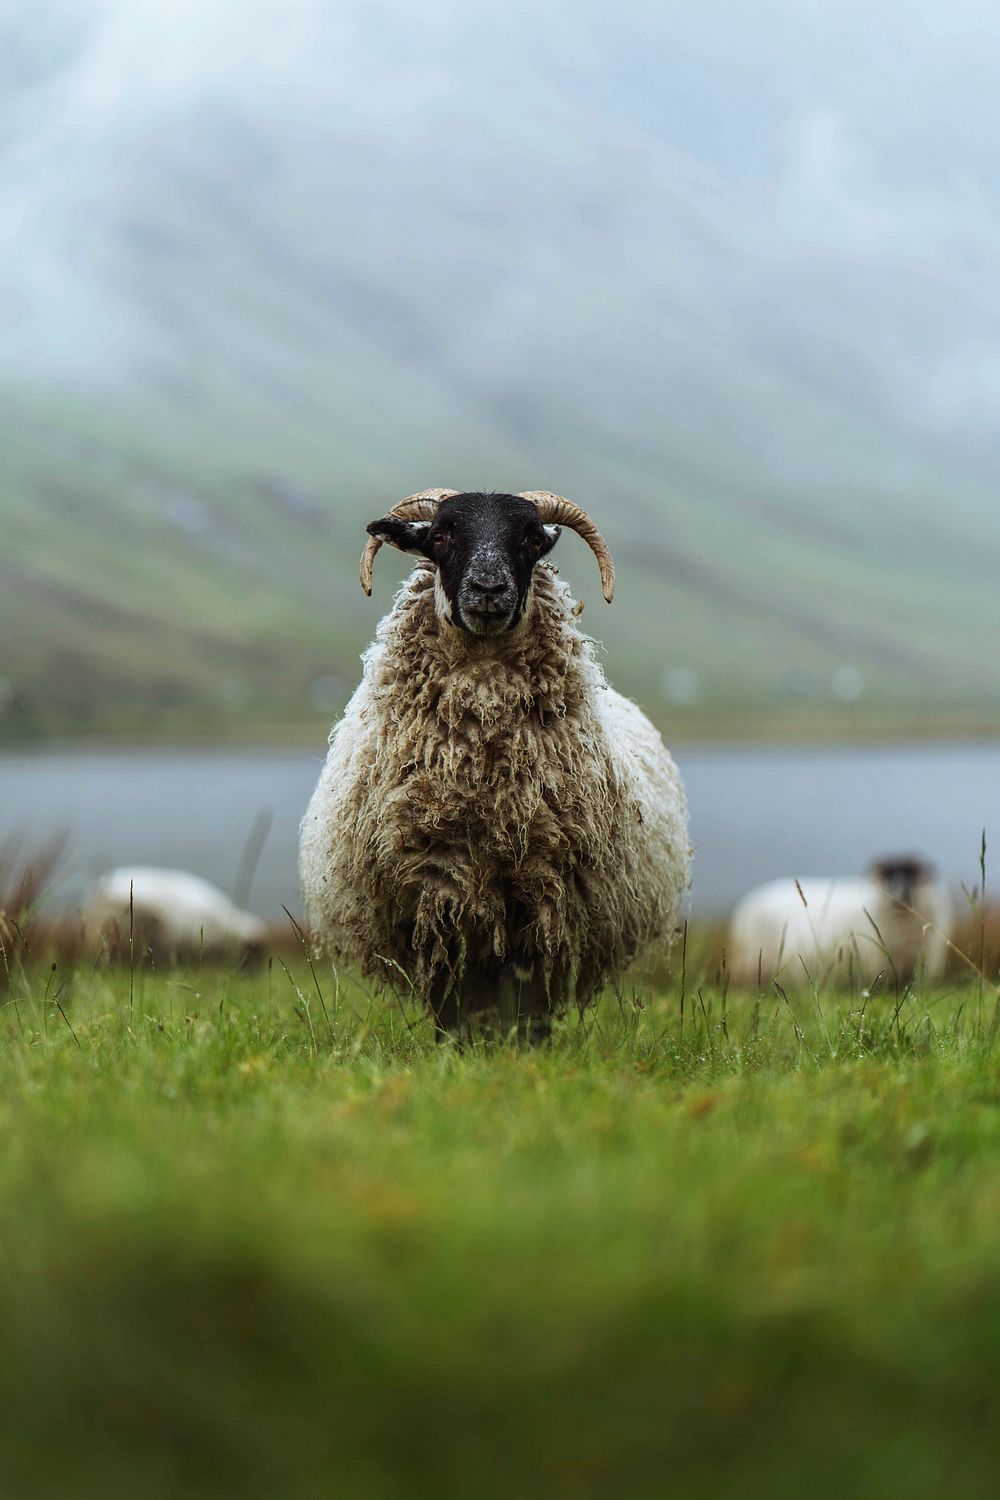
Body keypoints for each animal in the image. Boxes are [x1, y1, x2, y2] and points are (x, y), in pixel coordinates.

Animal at [296, 486, 689, 1038]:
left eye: (530, 539)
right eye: (441, 536)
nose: (488, 588)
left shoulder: (543, 905)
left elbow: (530, 1003)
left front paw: (524, 1050)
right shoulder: (433, 901)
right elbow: (448, 1002)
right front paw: (453, 1050)